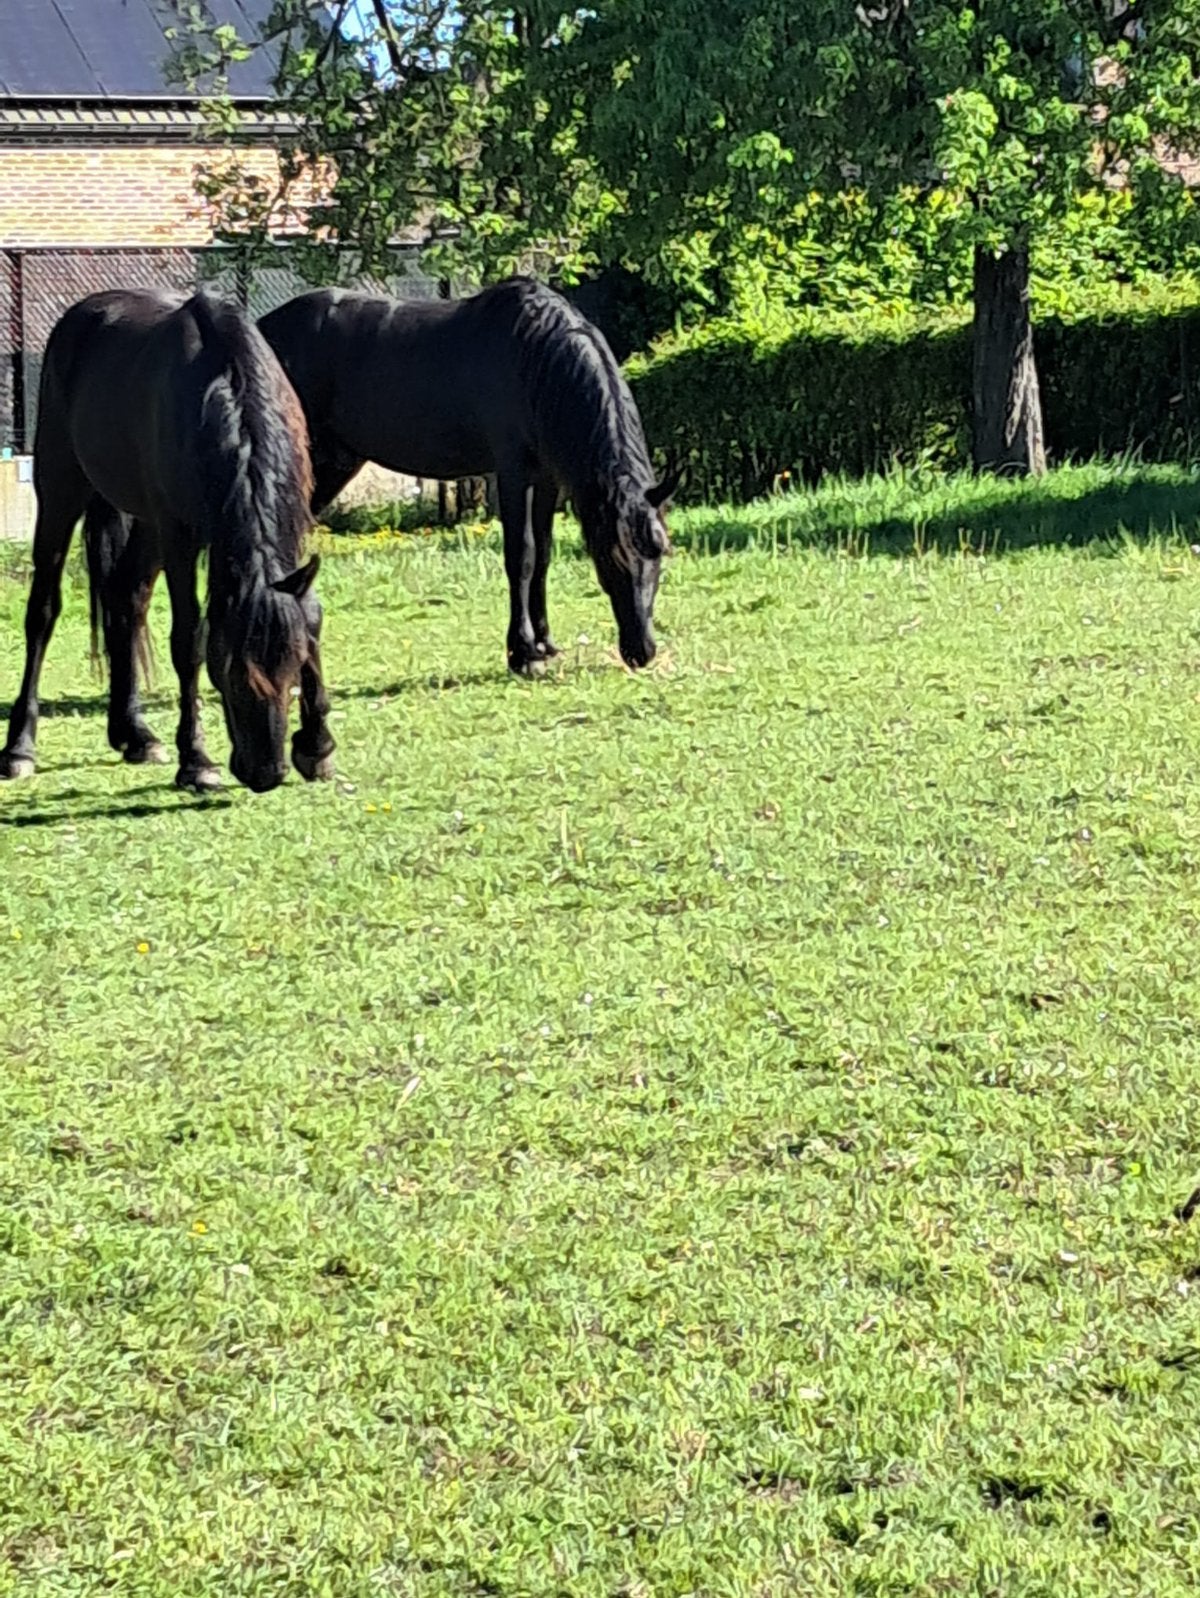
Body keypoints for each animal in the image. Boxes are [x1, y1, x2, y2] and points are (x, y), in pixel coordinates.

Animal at [0, 289, 335, 794]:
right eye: (231, 670)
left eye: (293, 668)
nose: (266, 772)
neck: (224, 393)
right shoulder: (179, 535)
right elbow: (188, 638)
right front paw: (196, 760)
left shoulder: (292, 529)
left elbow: (309, 617)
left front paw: (317, 747)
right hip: (62, 489)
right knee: (43, 610)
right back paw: (20, 748)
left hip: (143, 521)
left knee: (127, 598)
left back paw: (134, 734)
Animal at [257, 276, 682, 675]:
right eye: (611, 557)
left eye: (659, 550)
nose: (642, 651)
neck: (534, 357)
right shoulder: (513, 473)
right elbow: (522, 555)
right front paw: (523, 653)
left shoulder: (546, 478)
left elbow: (544, 553)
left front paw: (544, 643)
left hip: (332, 467)